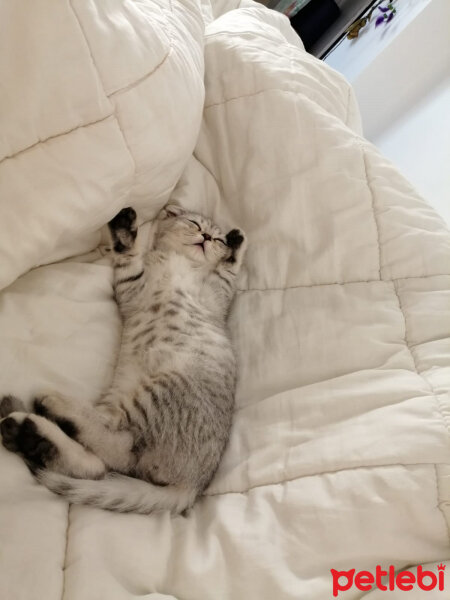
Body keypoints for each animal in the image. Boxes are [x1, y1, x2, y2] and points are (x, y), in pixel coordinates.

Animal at [0, 204, 246, 512]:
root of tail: (194, 486)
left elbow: (227, 272)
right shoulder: (133, 287)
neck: (181, 262)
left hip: (156, 395)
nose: (207, 237)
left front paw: (236, 244)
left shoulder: (217, 295)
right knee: (103, 464)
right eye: (195, 224)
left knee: (115, 449)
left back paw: (41, 419)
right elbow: (128, 258)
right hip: (127, 399)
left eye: (217, 238)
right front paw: (125, 230)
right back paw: (31, 434)